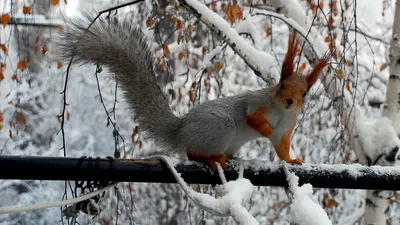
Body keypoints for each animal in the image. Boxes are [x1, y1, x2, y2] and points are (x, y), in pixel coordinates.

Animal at [59, 15, 328, 171]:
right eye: (281, 85)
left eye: (305, 93)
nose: (290, 101)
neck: (280, 110)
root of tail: (181, 130)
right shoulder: (256, 102)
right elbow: (252, 117)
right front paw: (264, 129)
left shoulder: (286, 128)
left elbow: (281, 148)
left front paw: (292, 160)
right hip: (220, 127)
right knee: (192, 152)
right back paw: (211, 158)